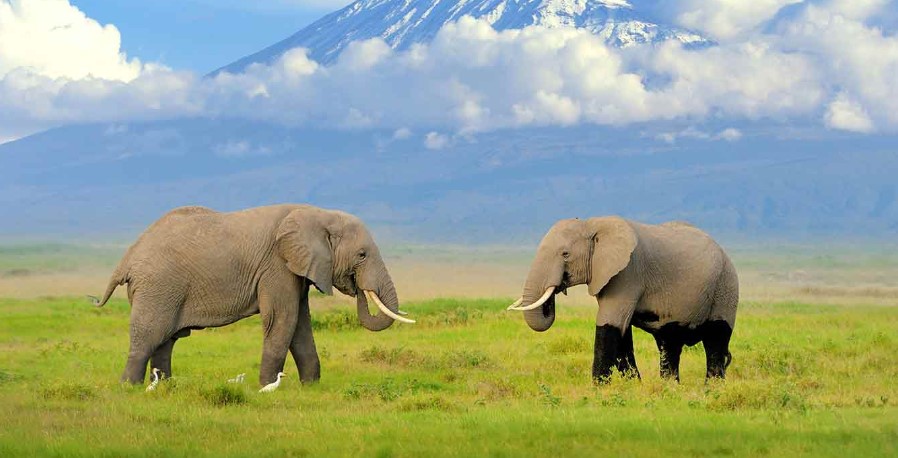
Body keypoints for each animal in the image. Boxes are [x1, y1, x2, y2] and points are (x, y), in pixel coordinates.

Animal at [91, 204, 414, 386]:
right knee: (149, 336)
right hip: (158, 288)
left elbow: (300, 324)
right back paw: (129, 388)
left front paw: (311, 387)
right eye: (362, 255)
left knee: (166, 341)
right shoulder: (276, 265)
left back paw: (167, 386)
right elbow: (282, 320)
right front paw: (267, 387)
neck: (319, 213)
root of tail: (128, 257)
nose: (357, 286)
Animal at [507, 217, 738, 383]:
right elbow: (622, 334)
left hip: (726, 287)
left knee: (716, 340)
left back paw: (712, 390)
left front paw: (599, 390)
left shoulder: (627, 274)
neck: (592, 224)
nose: (556, 289)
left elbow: (609, 325)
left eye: (565, 254)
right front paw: (634, 386)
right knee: (670, 344)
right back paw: (670, 388)